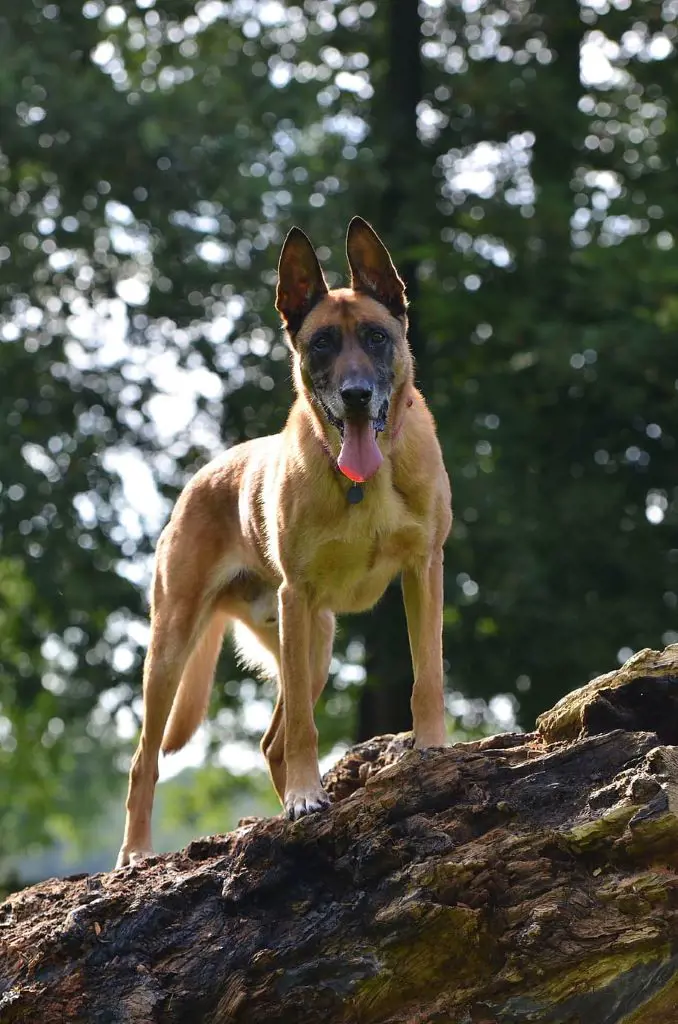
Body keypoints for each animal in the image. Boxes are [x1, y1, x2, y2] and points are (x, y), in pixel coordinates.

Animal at [116, 216, 450, 864]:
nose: (354, 395)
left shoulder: (424, 570)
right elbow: (303, 725)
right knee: (147, 760)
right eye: (322, 344)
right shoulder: (296, 595)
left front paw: (432, 749)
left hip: (317, 642)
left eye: (376, 337)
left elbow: (427, 675)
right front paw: (304, 796)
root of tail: (200, 479)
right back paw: (136, 854)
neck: (362, 482)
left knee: (269, 741)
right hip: (176, 646)